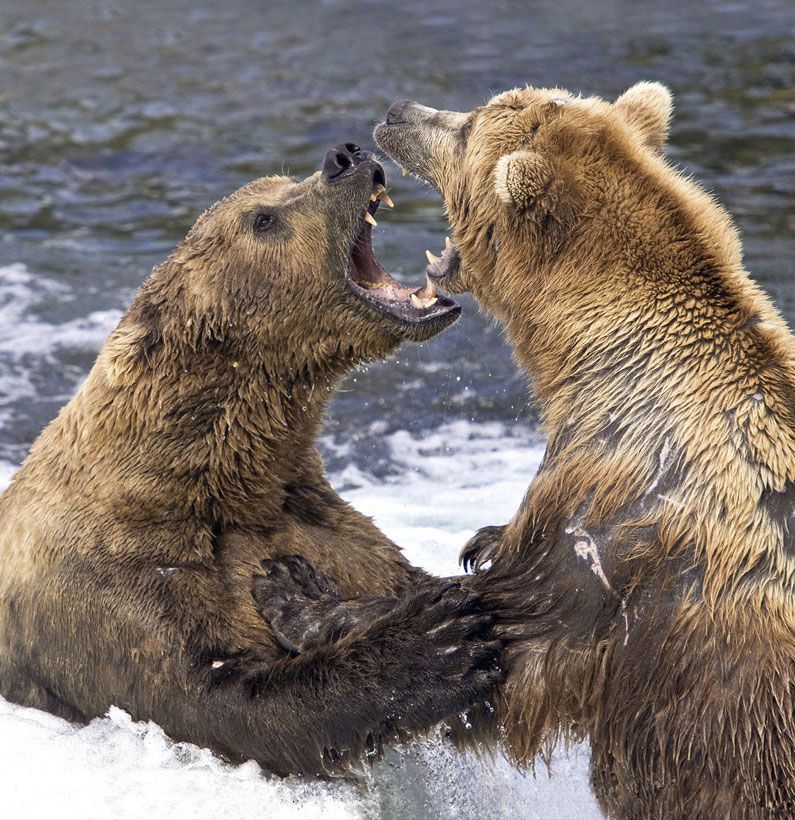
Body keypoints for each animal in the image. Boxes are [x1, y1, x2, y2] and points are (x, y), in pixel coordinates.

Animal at [0, 144, 504, 780]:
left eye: (282, 183)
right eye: (263, 219)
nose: (344, 156)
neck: (225, 480)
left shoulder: (325, 525)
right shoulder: (113, 583)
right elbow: (216, 695)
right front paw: (440, 641)